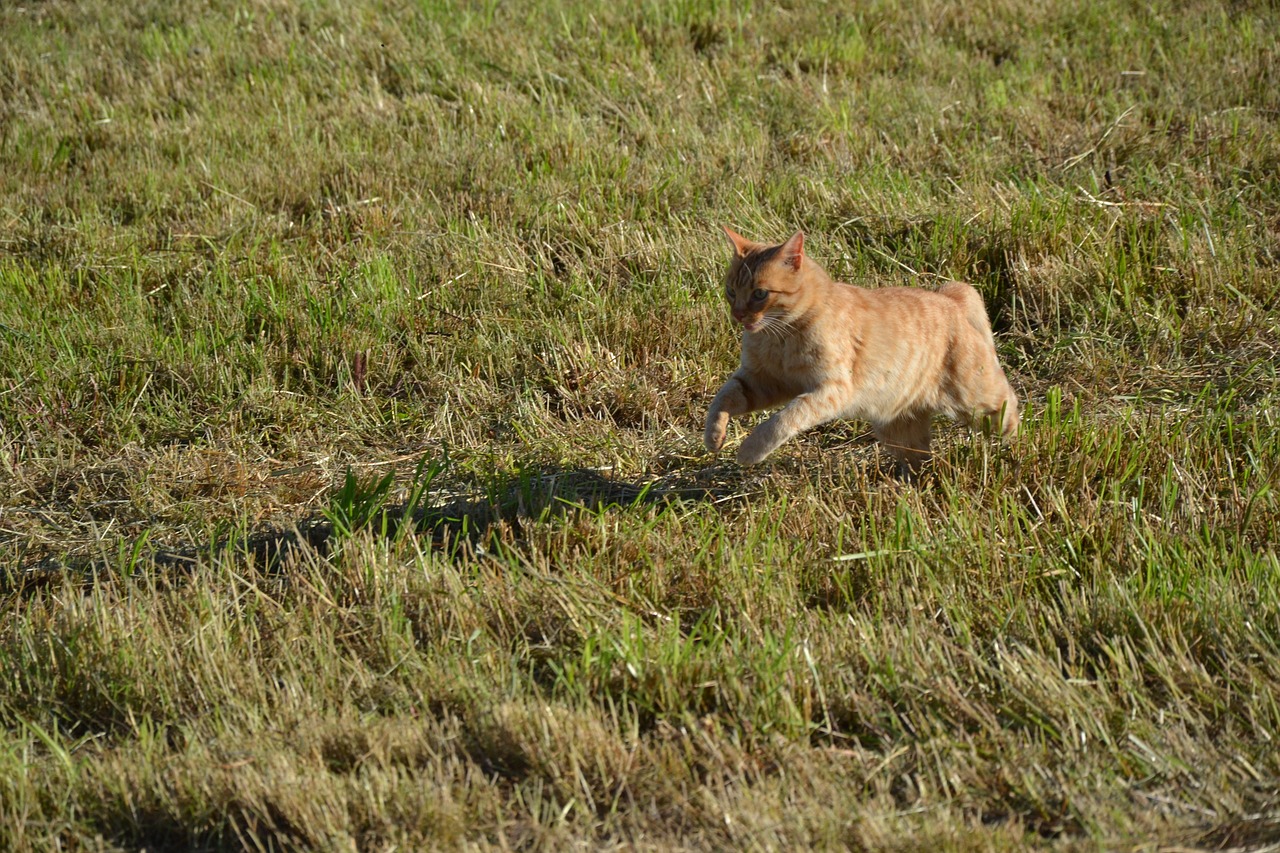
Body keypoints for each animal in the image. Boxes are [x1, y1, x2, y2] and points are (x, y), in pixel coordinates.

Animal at [701, 225, 1018, 471]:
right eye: (731, 291)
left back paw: (1014, 449)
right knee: (919, 458)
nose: (738, 315)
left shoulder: (831, 390)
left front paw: (749, 450)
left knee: (1010, 405)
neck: (778, 338)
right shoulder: (760, 381)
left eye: (759, 294)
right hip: (899, 429)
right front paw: (714, 436)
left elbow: (782, 421)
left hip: (975, 399)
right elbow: (721, 400)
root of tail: (948, 296)